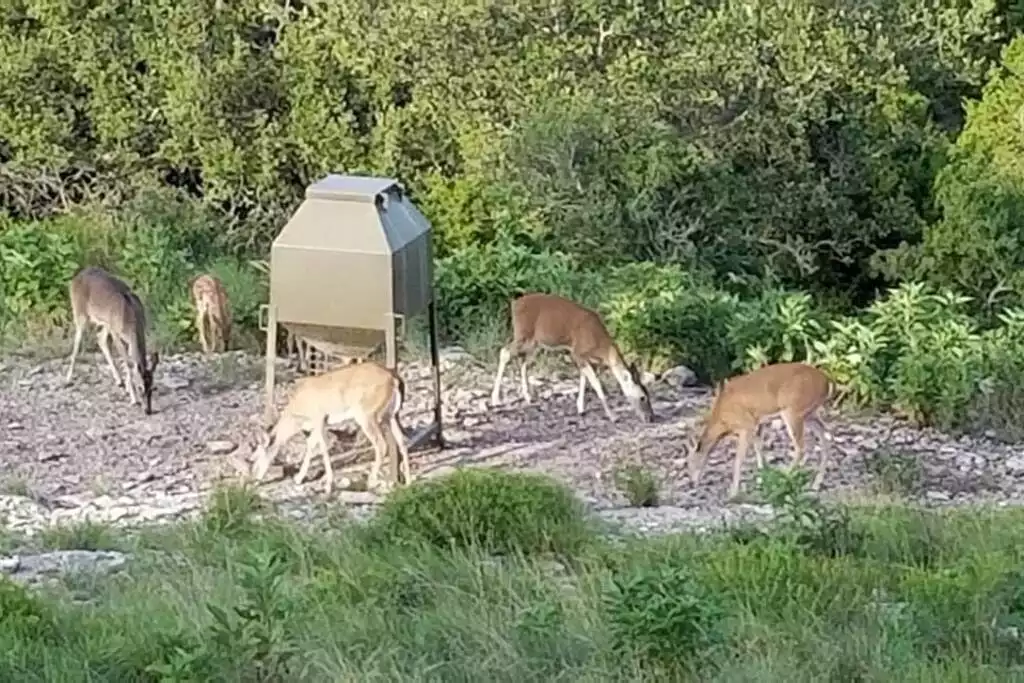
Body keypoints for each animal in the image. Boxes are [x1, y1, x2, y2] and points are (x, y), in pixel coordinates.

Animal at [64, 266, 160, 417]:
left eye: (152, 388)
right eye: (140, 388)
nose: (148, 410)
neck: (132, 320)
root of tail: (77, 276)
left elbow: (130, 360)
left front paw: (128, 387)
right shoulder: (116, 333)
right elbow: (128, 362)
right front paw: (134, 399)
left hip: (105, 322)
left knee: (100, 338)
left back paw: (119, 380)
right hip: (79, 312)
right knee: (77, 342)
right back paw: (67, 380)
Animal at [247, 358, 407, 497]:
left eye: (254, 459)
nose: (253, 480)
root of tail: (393, 379)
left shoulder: (319, 418)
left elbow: (323, 448)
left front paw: (328, 485)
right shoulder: (314, 425)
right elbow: (311, 446)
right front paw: (298, 478)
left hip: (367, 415)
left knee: (381, 444)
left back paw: (372, 482)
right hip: (391, 415)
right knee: (401, 440)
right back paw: (408, 483)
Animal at [489, 292, 655, 421]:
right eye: (643, 397)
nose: (651, 418)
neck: (602, 347)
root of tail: (515, 303)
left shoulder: (586, 358)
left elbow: (584, 380)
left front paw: (581, 408)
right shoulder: (577, 352)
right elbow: (596, 384)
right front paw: (613, 416)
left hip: (533, 342)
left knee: (524, 361)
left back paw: (528, 397)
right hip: (523, 334)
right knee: (504, 352)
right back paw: (495, 399)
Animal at [688, 360, 831, 499]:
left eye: (688, 463)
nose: (691, 483)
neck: (722, 419)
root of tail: (826, 381)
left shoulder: (747, 425)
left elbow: (739, 460)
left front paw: (733, 492)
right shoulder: (758, 425)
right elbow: (759, 451)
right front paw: (761, 482)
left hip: (793, 411)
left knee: (801, 447)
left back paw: (784, 479)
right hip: (809, 413)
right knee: (823, 433)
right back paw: (816, 484)